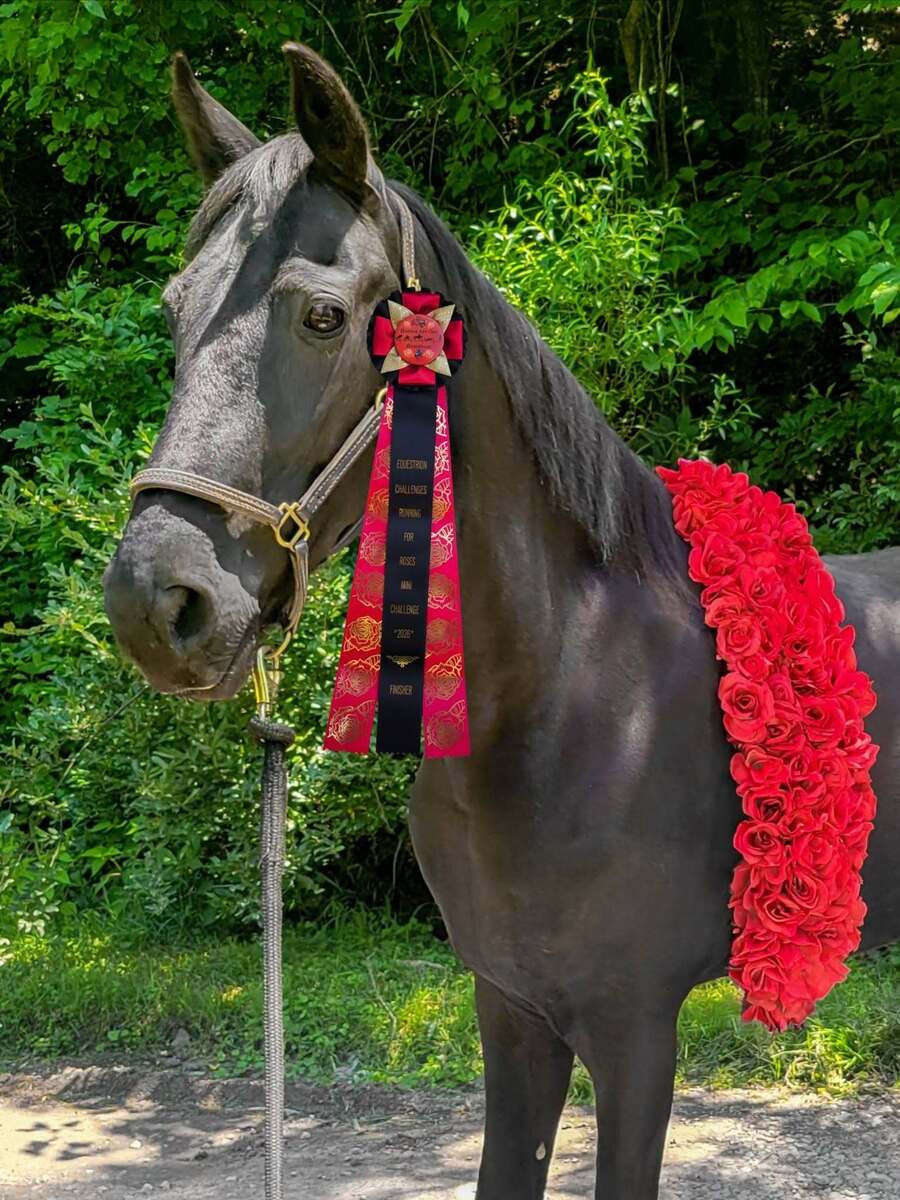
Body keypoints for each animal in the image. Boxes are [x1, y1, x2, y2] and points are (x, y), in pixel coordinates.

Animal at [103, 44, 900, 1199]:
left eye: (323, 316)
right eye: (172, 313)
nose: (157, 600)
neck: (568, 693)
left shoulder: (633, 1031)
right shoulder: (513, 1012)